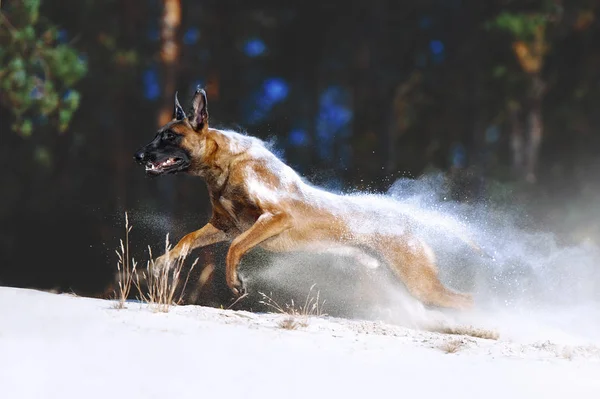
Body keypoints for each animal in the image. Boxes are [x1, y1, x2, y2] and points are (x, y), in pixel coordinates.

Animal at [132, 89, 474, 310]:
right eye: (157, 134)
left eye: (170, 137)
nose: (137, 156)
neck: (225, 165)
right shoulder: (224, 225)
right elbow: (187, 239)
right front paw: (161, 263)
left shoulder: (276, 217)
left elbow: (235, 248)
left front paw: (235, 281)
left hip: (420, 281)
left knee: (465, 300)